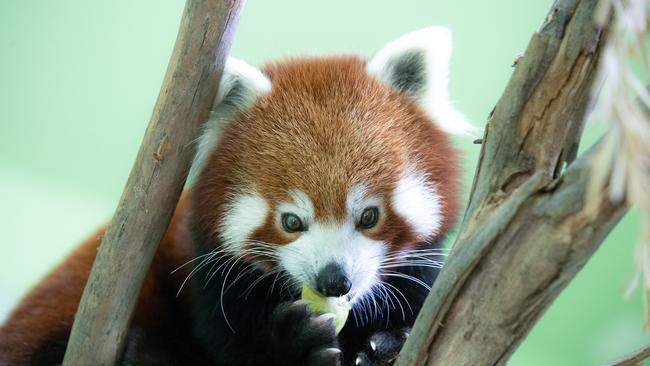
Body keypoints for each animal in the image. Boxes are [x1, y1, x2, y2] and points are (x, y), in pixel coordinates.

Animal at [0, 26, 466, 366]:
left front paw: (385, 345)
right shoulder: (213, 284)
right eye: (291, 222)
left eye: (368, 216)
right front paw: (291, 344)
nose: (334, 281)